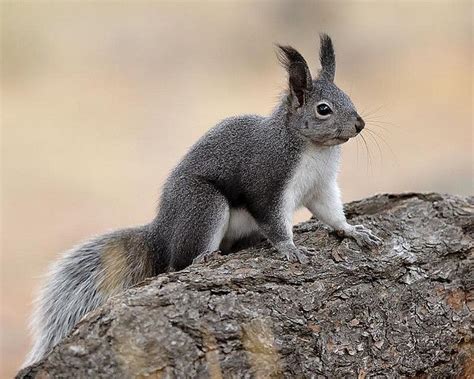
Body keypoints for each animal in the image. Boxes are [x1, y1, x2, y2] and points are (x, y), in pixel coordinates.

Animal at [25, 35, 382, 368]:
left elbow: (331, 212)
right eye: (323, 109)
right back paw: (203, 257)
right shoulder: (268, 182)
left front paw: (353, 231)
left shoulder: (321, 186)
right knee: (178, 262)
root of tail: (161, 232)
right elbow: (273, 219)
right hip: (205, 205)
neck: (313, 148)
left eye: (349, 97)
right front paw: (290, 248)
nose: (359, 124)